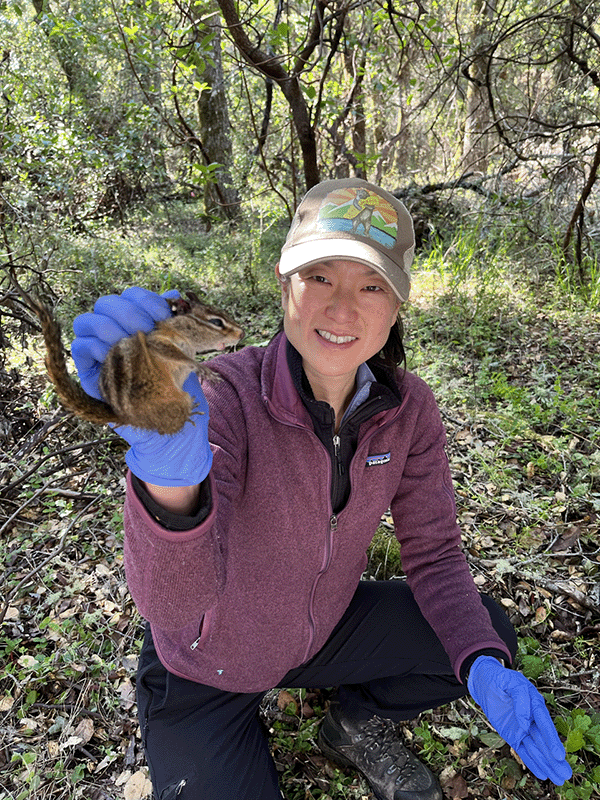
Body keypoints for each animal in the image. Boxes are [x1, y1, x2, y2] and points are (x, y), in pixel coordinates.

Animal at [14, 285, 244, 435]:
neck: (186, 337)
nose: (241, 334)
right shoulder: (159, 342)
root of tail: (126, 417)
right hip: (176, 402)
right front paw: (202, 368)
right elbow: (174, 354)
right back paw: (189, 414)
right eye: (217, 322)